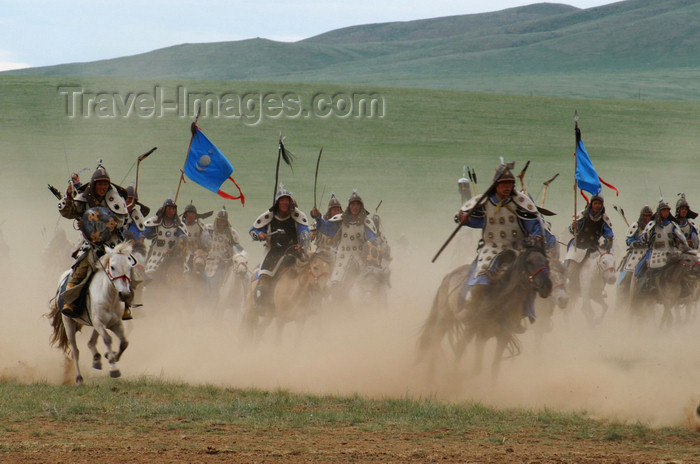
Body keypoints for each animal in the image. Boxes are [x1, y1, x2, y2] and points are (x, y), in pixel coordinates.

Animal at [416, 245, 552, 378]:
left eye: (546, 262)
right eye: (529, 262)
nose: (547, 286)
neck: (500, 299)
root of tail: (448, 276)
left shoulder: (499, 336)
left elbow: (489, 368)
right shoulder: (473, 328)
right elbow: (462, 351)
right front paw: (453, 377)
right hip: (444, 318)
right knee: (434, 341)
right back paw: (430, 375)